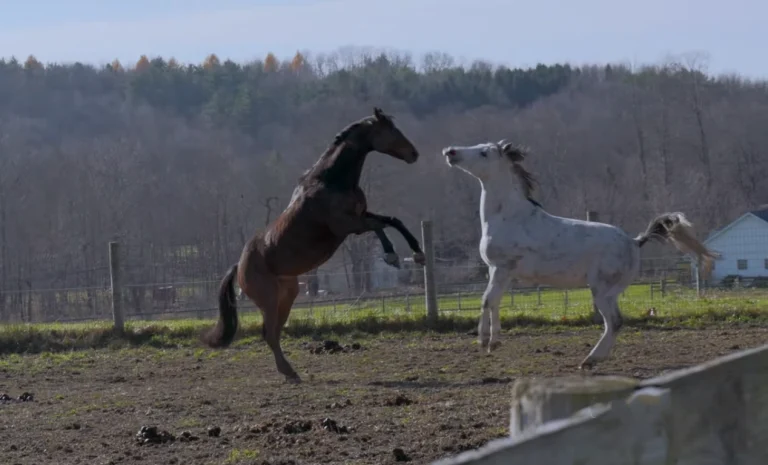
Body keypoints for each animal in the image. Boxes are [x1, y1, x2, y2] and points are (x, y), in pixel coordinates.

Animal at [203, 107, 426, 383]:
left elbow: (393, 220)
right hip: (269, 300)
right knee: (269, 333)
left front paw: (418, 253)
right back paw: (289, 372)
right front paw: (392, 256)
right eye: (390, 130)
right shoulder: (347, 225)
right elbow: (378, 226)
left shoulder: (361, 215)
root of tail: (239, 266)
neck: (331, 181)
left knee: (275, 332)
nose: (413, 154)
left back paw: (290, 373)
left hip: (287, 296)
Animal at [441, 140, 720, 370]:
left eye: (484, 152)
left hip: (602, 289)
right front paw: (493, 342)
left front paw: (484, 341)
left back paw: (590, 360)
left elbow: (487, 300)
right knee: (615, 322)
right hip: (611, 291)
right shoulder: (497, 270)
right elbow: (493, 301)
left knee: (615, 321)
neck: (509, 216)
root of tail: (634, 241)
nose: (450, 152)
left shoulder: (502, 267)